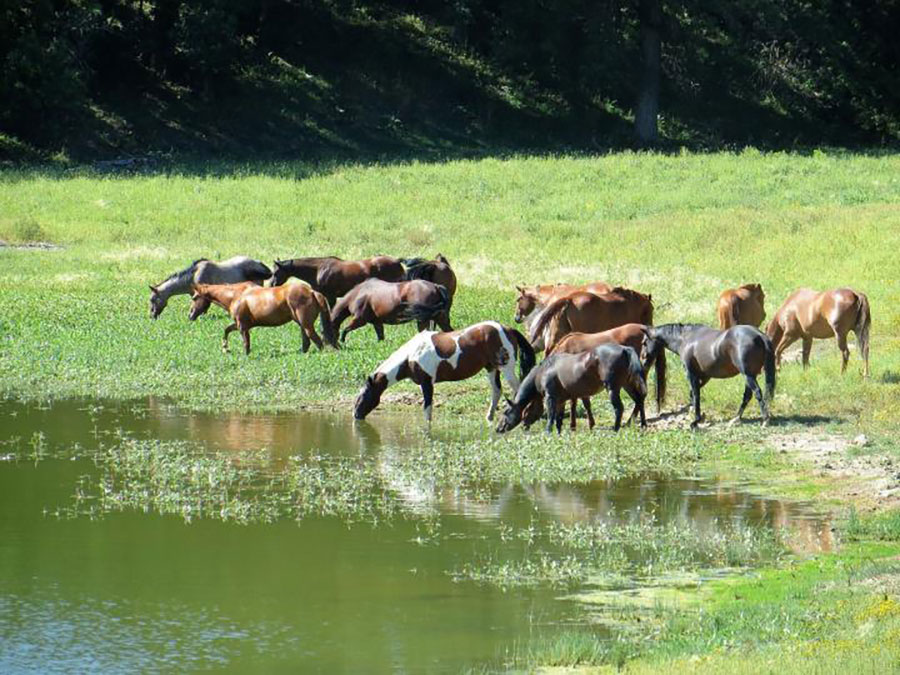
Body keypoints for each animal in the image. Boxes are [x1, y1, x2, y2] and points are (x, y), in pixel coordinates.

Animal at [189, 283, 338, 355]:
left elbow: (246, 344)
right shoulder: (240, 325)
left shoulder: (242, 326)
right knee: (307, 342)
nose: (190, 315)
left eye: (194, 297)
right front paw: (226, 348)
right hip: (302, 324)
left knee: (317, 341)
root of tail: (312, 292)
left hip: (306, 325)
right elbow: (226, 330)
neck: (236, 295)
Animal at [353, 321, 535, 423]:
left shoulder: (427, 383)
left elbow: (427, 409)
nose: (356, 415)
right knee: (497, 391)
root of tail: (508, 329)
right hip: (491, 368)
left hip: (506, 368)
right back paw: (489, 418)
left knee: (517, 390)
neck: (411, 356)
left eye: (363, 396)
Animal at [496, 344, 647, 434]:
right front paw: (558, 433)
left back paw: (616, 429)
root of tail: (624, 349)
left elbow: (551, 416)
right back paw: (643, 424)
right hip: (627, 385)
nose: (498, 428)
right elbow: (559, 418)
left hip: (612, 389)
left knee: (619, 408)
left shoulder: (550, 397)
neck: (543, 371)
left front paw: (548, 432)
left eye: (506, 412)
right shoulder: (561, 400)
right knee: (639, 400)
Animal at [641, 323, 776, 429]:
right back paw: (736, 418)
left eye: (644, 343)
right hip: (750, 375)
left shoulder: (691, 374)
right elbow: (693, 393)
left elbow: (696, 394)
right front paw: (696, 415)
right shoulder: (705, 376)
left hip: (748, 375)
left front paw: (695, 421)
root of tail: (760, 335)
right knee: (747, 395)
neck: (685, 339)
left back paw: (765, 420)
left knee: (757, 392)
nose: (643, 361)